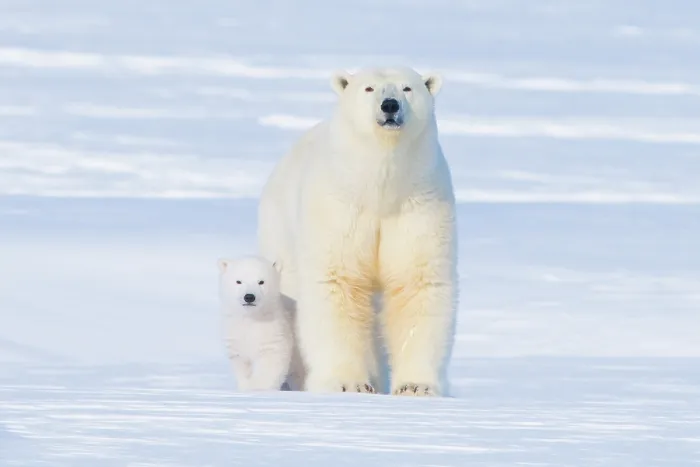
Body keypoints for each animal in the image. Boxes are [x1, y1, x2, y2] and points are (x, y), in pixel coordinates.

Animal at [217, 255, 305, 392]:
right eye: (239, 281)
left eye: (261, 282)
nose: (249, 297)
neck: (252, 318)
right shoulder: (235, 335)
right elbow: (242, 363)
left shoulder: (275, 332)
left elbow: (270, 364)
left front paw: (258, 388)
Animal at [257, 66, 458, 397]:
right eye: (368, 88)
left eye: (407, 88)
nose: (390, 105)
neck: (379, 188)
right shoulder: (339, 208)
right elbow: (337, 282)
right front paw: (348, 384)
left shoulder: (419, 206)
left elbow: (417, 283)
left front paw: (416, 386)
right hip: (280, 228)